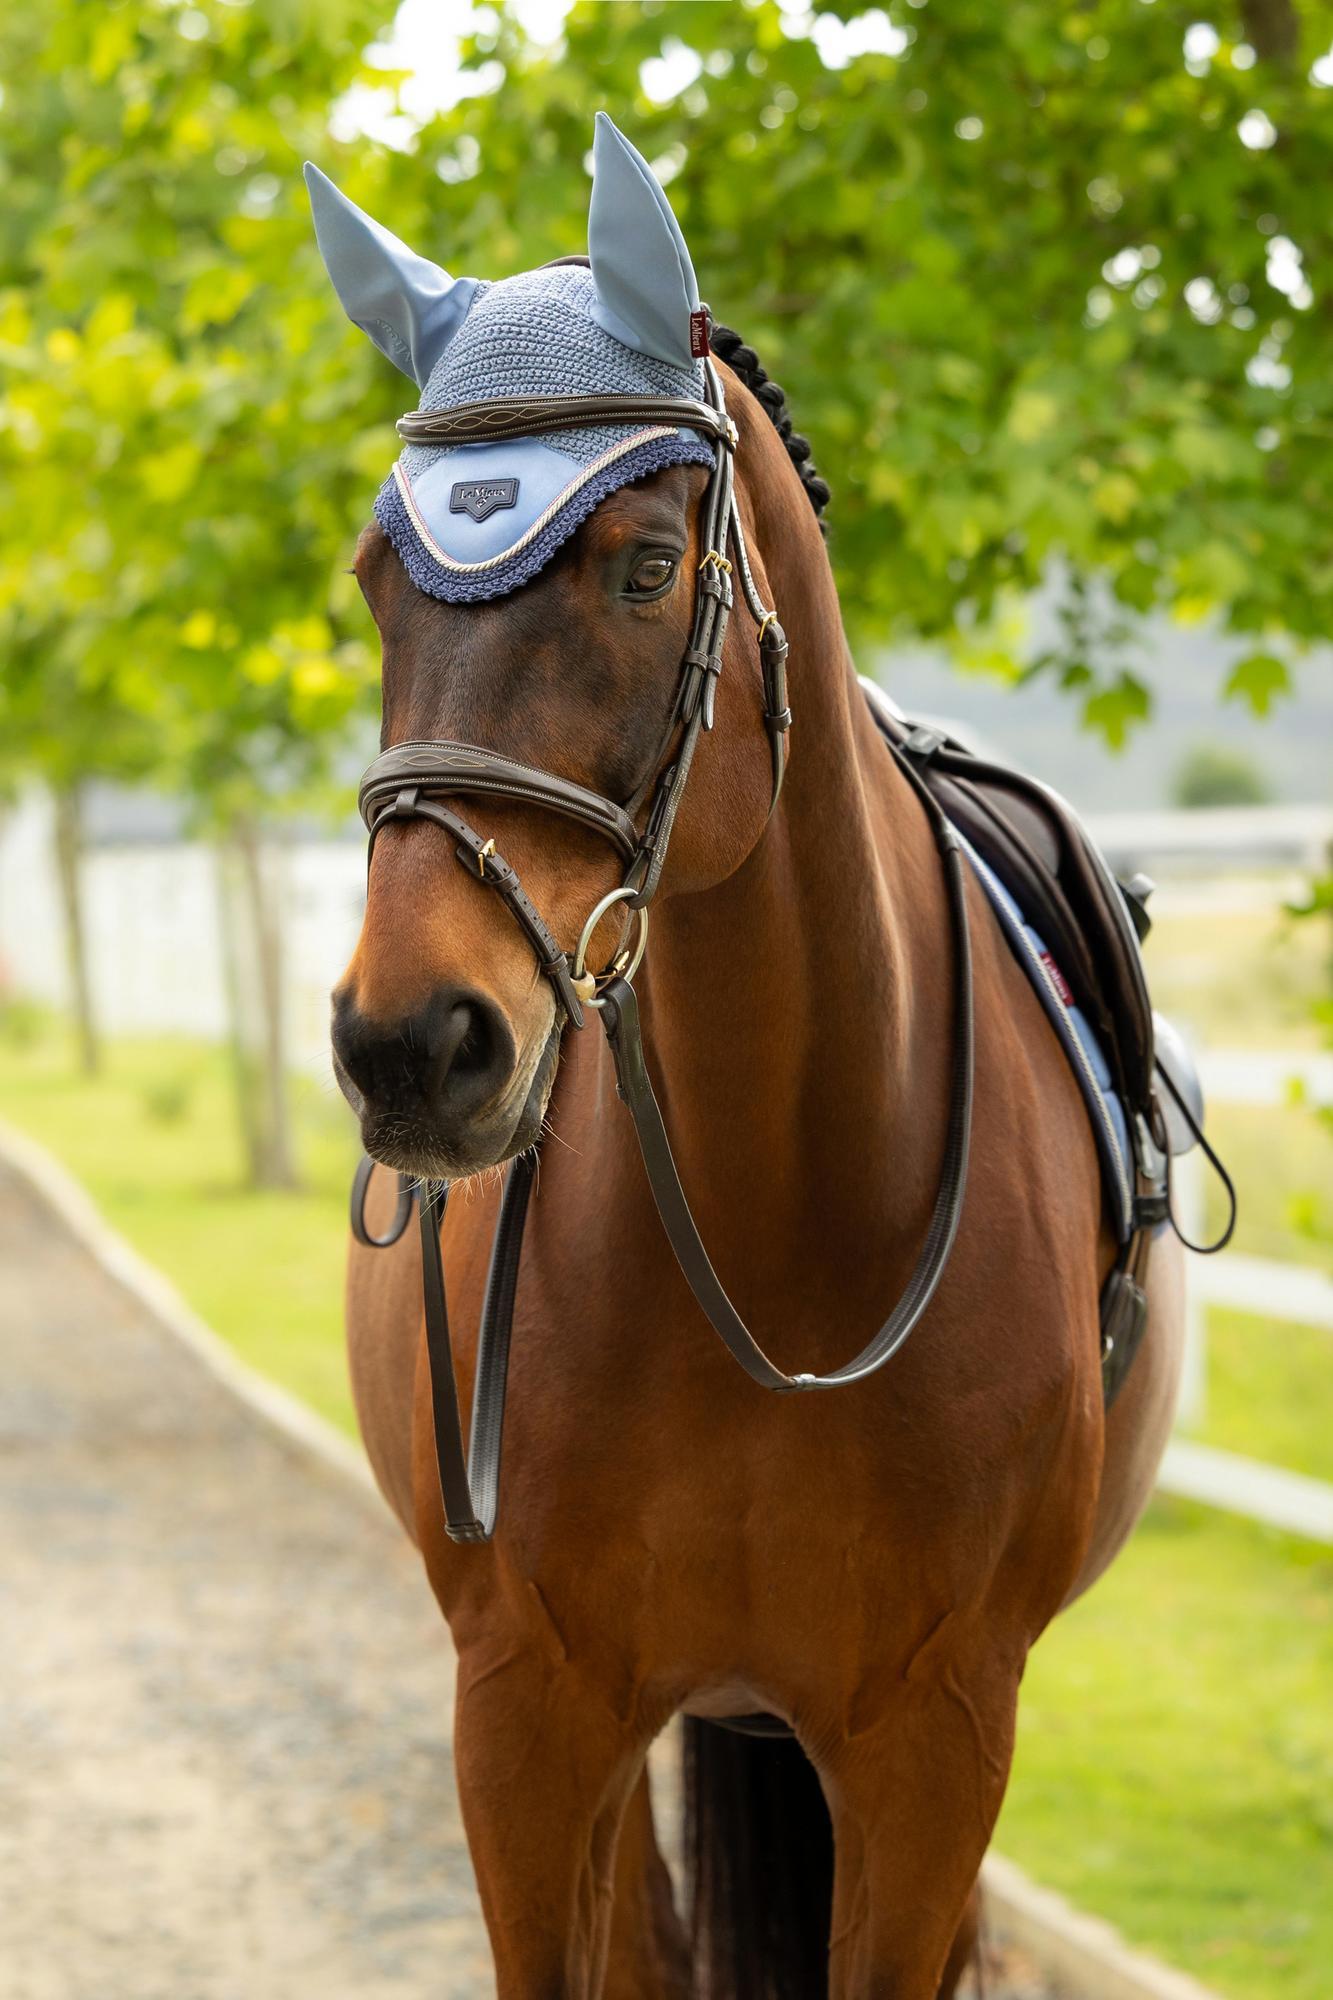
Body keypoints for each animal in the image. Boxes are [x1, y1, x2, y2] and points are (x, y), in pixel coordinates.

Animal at [315, 119, 1186, 1998]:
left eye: (646, 566)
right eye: (371, 582)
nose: (411, 1044)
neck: (783, 1241)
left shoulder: (937, 1738)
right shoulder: (524, 1715)